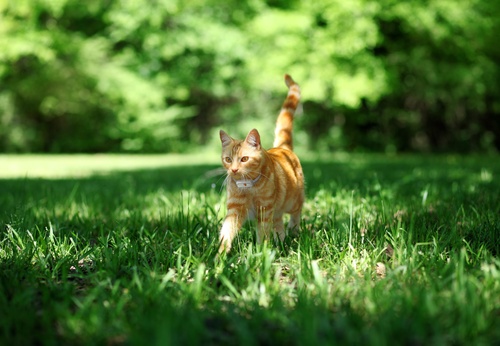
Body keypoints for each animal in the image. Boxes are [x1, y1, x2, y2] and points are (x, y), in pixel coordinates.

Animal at [217, 74, 302, 253]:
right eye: (228, 160)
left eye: (244, 159)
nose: (234, 170)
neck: (248, 187)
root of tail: (281, 147)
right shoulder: (235, 210)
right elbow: (226, 232)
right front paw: (219, 255)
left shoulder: (265, 210)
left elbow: (262, 234)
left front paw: (260, 254)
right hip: (277, 211)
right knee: (279, 225)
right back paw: (281, 241)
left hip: (292, 201)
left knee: (296, 212)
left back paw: (294, 230)